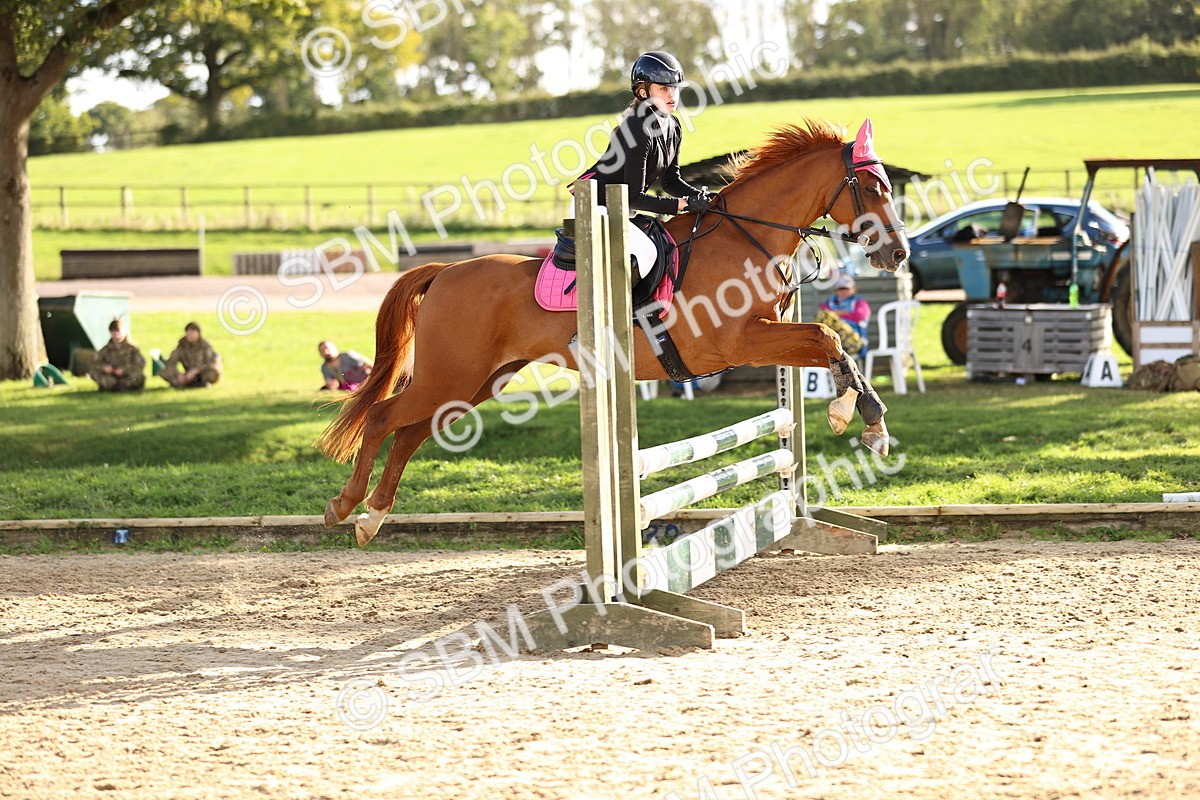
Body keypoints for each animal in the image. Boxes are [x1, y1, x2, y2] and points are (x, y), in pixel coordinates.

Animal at [317, 118, 910, 546]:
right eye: (873, 186)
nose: (899, 254)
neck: (747, 239)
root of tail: (444, 272)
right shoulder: (739, 343)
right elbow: (827, 341)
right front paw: (856, 415)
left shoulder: (767, 336)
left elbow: (830, 346)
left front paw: (866, 419)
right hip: (449, 376)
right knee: (383, 417)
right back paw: (344, 507)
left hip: (475, 383)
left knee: (409, 434)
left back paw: (372, 517)